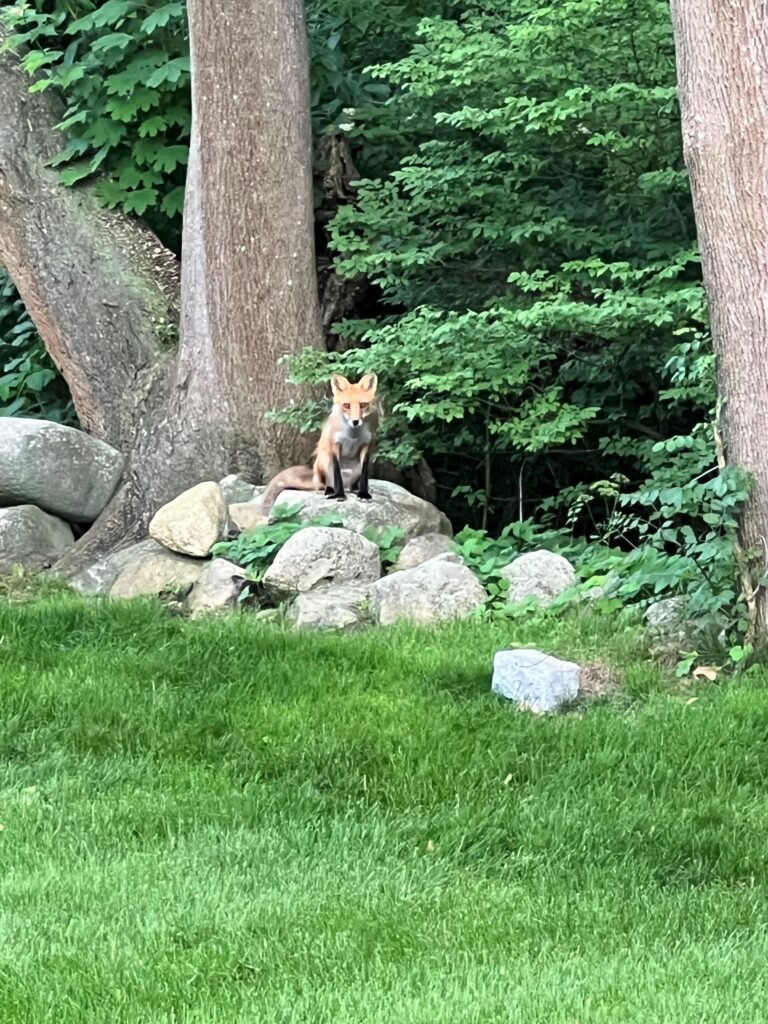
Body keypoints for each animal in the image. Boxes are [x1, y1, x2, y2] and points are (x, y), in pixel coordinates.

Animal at [260, 372, 380, 516]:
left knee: (350, 485)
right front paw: (339, 495)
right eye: (346, 405)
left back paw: (354, 489)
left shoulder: (367, 445)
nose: (355, 421)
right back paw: (330, 491)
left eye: (363, 405)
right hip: (323, 459)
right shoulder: (335, 445)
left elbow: (364, 475)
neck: (353, 434)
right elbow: (336, 474)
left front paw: (363, 493)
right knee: (324, 485)